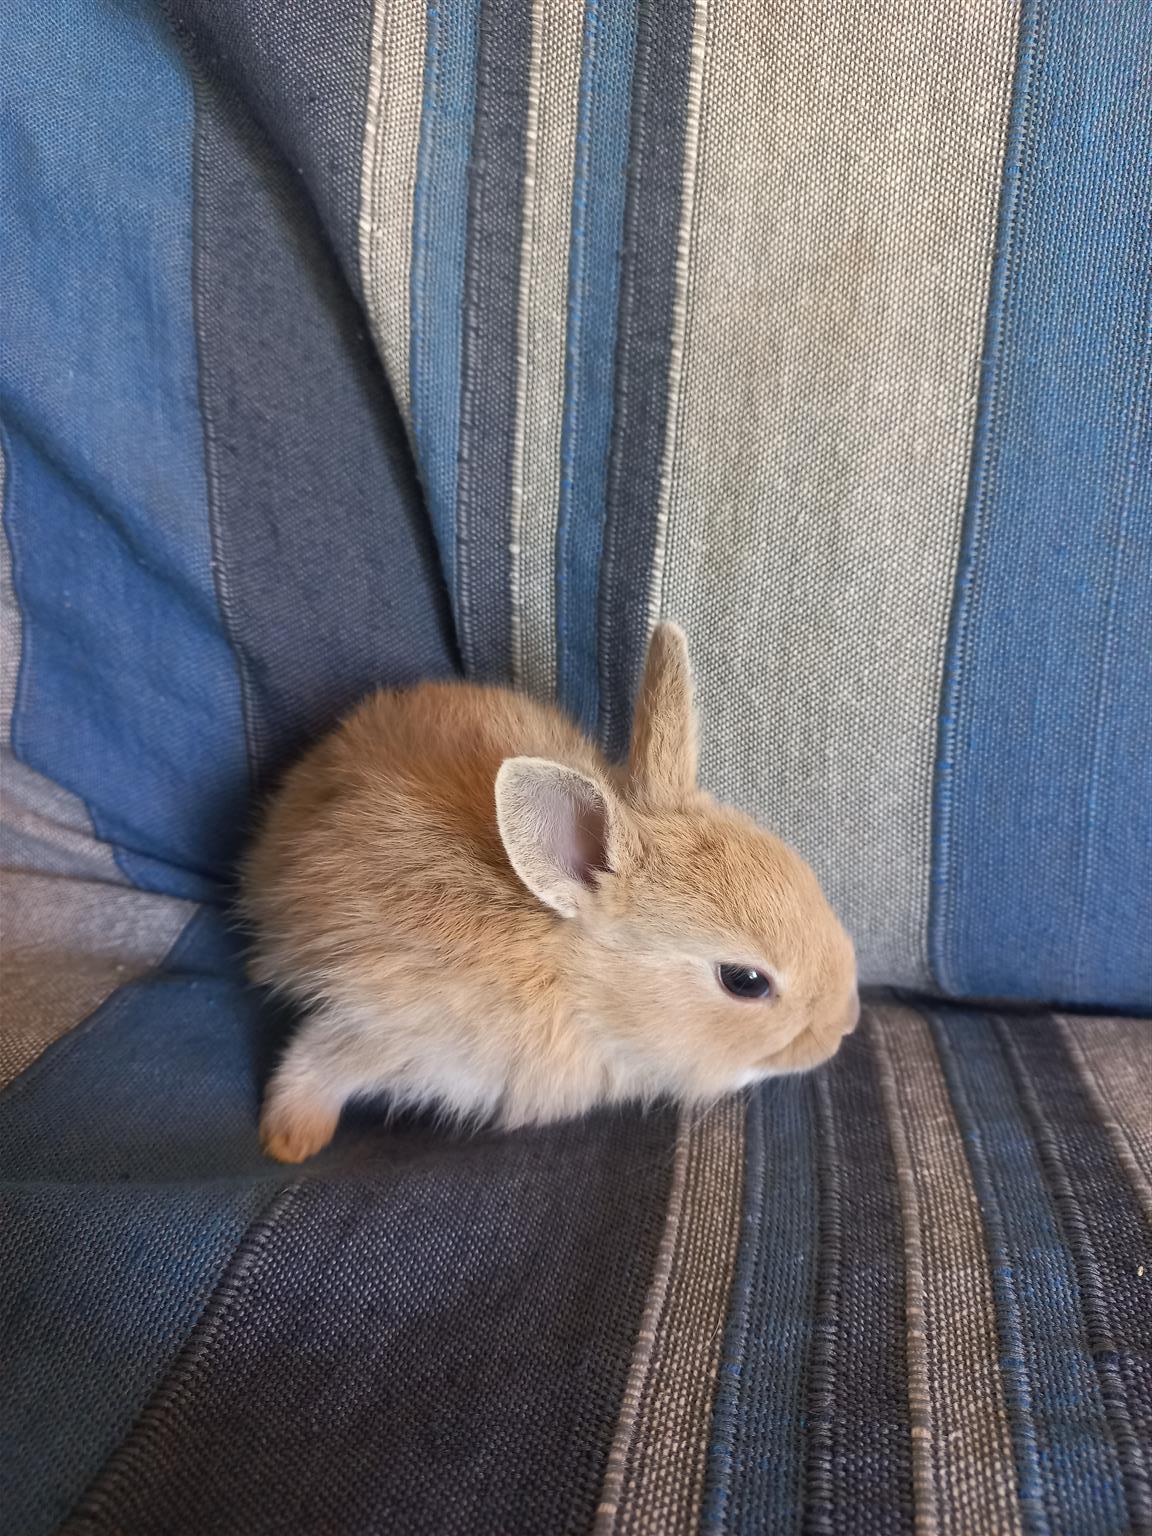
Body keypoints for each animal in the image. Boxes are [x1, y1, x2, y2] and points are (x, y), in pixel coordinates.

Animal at [242, 622, 858, 1163]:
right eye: (745, 981)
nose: (842, 1029)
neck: (569, 980)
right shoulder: (384, 1020)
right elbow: (317, 1060)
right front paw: (291, 1140)